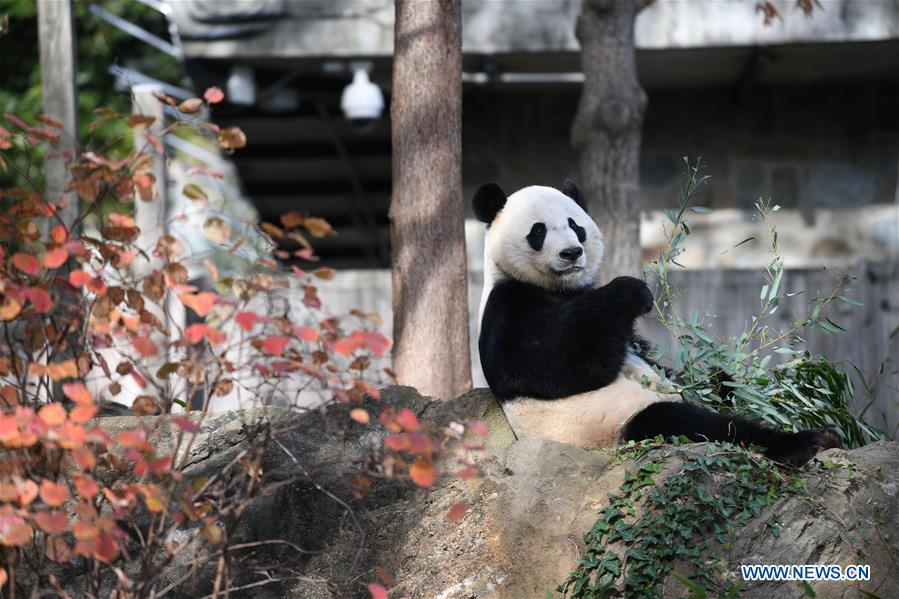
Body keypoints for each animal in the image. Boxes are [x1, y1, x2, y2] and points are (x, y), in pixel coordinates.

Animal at [473, 179, 825, 466]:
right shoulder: (509, 305)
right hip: (612, 425)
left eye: (575, 225)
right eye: (538, 231)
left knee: (717, 386)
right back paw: (798, 444)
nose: (571, 253)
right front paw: (634, 293)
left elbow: (644, 352)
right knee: (686, 421)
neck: (560, 287)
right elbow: (550, 362)